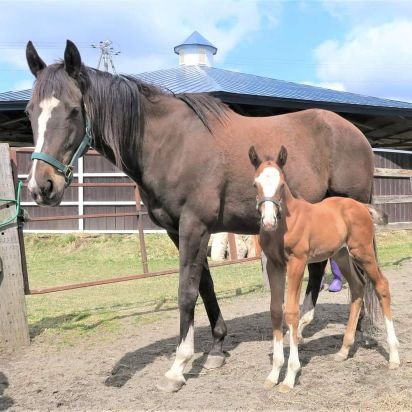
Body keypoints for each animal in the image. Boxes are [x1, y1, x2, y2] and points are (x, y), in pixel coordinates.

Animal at [25, 40, 374, 392]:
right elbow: (205, 285)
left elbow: (186, 292)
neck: (170, 144)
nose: (41, 186)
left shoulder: (194, 225)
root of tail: (356, 134)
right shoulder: (180, 230)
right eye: (30, 111)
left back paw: (354, 334)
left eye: (73, 110)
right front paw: (217, 347)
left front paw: (178, 366)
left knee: (359, 276)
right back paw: (304, 327)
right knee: (320, 271)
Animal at [248, 145, 400, 392]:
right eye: (255, 184)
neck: (286, 223)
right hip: (341, 255)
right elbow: (276, 311)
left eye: (282, 184)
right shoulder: (274, 265)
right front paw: (273, 374)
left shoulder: (297, 262)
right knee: (357, 288)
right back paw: (344, 350)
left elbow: (292, 312)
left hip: (363, 252)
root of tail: (361, 206)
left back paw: (394, 356)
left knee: (381, 285)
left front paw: (290, 376)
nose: (269, 221)